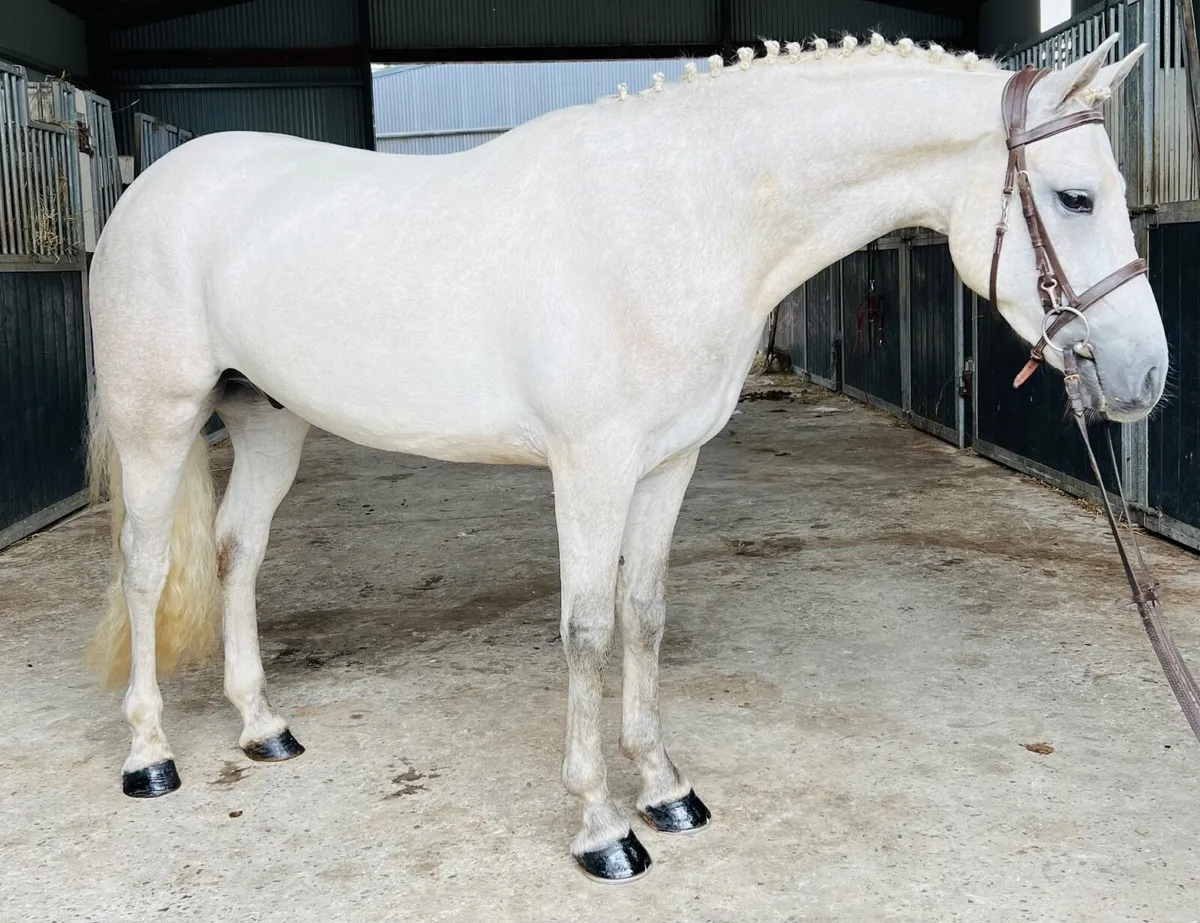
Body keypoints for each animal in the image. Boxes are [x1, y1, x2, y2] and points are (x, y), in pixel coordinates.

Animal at [84, 33, 1166, 881]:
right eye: (1075, 196)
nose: (1146, 375)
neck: (675, 218)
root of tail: (152, 186)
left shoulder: (668, 461)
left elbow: (644, 615)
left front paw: (668, 789)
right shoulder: (591, 464)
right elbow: (588, 631)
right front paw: (602, 828)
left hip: (268, 421)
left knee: (236, 553)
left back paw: (262, 726)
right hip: (158, 421)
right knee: (145, 567)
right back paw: (151, 756)